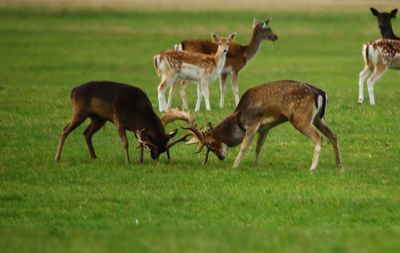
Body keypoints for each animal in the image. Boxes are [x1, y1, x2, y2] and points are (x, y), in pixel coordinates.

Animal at [54, 81, 194, 164]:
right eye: (153, 145)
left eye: (163, 148)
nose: (154, 158)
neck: (136, 113)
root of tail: (74, 90)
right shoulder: (119, 122)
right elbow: (125, 143)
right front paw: (128, 161)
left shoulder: (137, 129)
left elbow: (140, 144)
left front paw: (141, 161)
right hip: (79, 111)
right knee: (65, 130)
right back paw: (56, 158)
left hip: (98, 118)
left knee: (86, 133)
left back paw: (94, 157)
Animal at [183, 80, 342, 172]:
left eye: (210, 143)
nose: (221, 157)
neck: (239, 118)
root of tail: (321, 93)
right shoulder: (265, 128)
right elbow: (258, 147)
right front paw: (255, 165)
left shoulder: (252, 124)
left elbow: (244, 146)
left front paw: (235, 165)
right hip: (318, 119)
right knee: (333, 135)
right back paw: (338, 164)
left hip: (300, 119)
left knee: (319, 137)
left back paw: (312, 167)